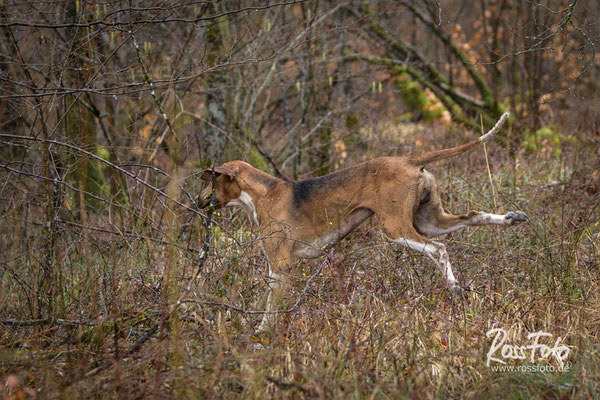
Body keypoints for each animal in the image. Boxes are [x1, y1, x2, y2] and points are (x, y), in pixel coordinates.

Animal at [198, 111, 524, 330]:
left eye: (211, 181)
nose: (197, 201)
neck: (263, 194)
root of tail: (409, 160)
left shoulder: (280, 265)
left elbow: (268, 309)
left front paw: (260, 335)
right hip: (430, 221)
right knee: (473, 217)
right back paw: (510, 218)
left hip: (396, 228)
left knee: (439, 249)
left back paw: (454, 287)